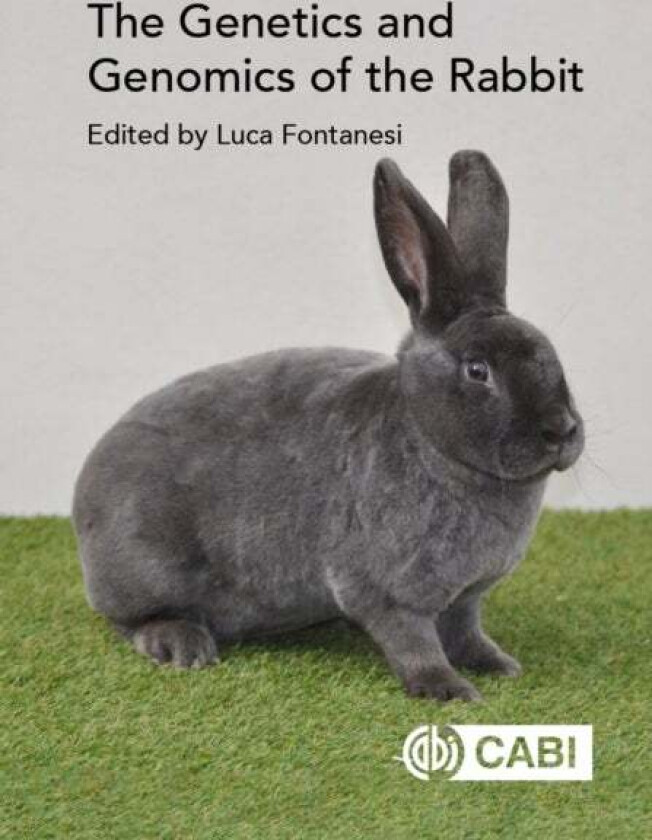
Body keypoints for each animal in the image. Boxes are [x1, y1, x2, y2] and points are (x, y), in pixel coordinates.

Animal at [73, 151, 584, 702]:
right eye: (477, 370)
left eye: (550, 352)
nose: (561, 430)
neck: (430, 443)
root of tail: (84, 495)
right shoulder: (383, 590)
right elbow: (414, 641)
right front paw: (446, 689)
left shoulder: (464, 597)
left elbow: (466, 632)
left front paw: (498, 665)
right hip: (145, 570)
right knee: (129, 619)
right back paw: (181, 646)